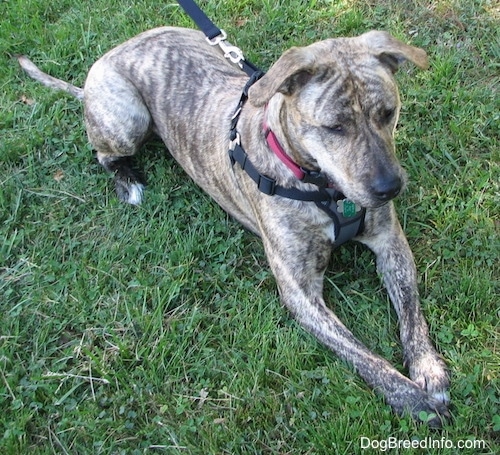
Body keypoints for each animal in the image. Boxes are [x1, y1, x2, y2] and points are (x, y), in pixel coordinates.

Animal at [18, 25, 450, 428]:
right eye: (334, 127)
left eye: (388, 113)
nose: (389, 187)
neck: (323, 188)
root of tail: (111, 55)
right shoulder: (302, 293)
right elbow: (360, 353)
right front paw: (412, 398)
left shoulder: (391, 244)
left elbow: (411, 314)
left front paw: (428, 369)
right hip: (127, 120)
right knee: (103, 152)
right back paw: (129, 182)